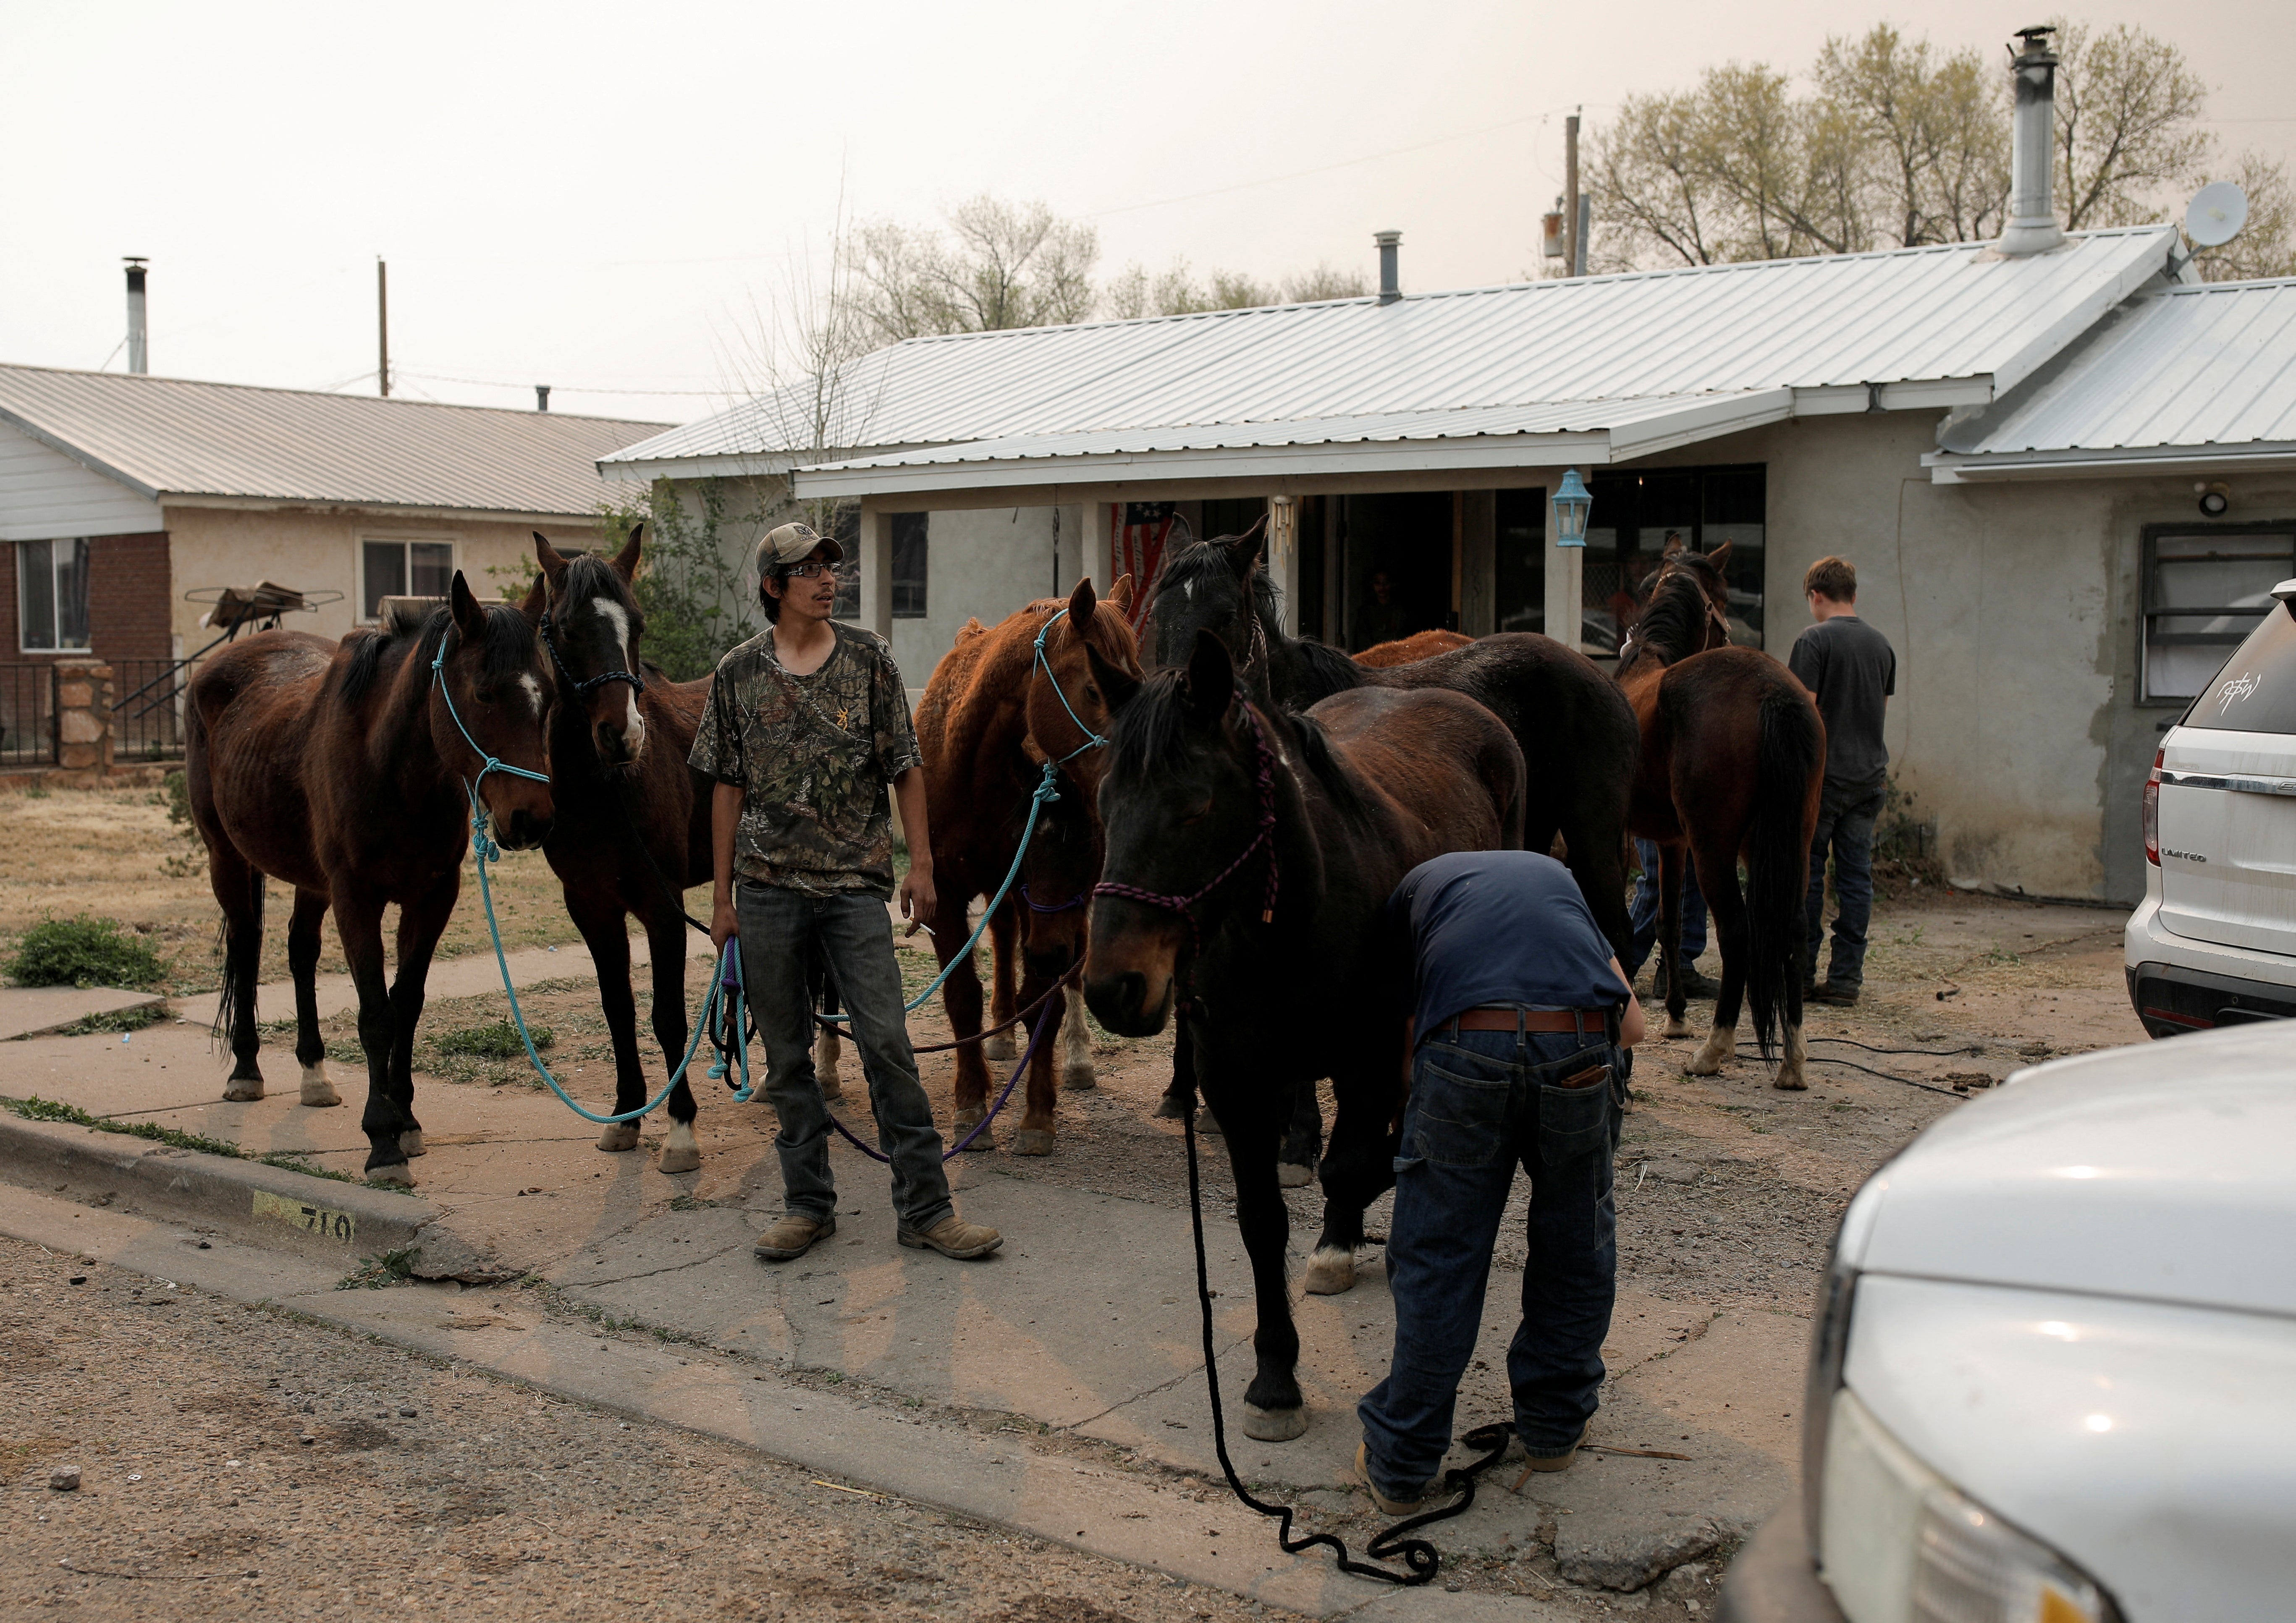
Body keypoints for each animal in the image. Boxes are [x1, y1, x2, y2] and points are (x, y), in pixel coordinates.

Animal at [183, 571, 551, 1184]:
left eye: (546, 693)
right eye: (484, 693)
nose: (532, 819)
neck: (392, 769)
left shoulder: (432, 897)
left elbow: (408, 1003)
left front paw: (406, 1119)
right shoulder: (357, 897)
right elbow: (377, 1014)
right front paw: (383, 1142)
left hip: (311, 879)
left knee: (300, 951)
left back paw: (314, 1072)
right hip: (226, 857)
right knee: (247, 945)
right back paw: (246, 1070)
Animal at [521, 528, 716, 1175]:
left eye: (638, 623)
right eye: (564, 627)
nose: (622, 734)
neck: (607, 791)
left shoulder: (662, 906)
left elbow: (668, 1016)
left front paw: (681, 1131)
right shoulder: (592, 908)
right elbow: (618, 1009)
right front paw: (626, 1116)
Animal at [904, 574, 1139, 1157]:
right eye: (1094, 690)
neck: (973, 771)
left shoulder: (1045, 893)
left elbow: (1044, 999)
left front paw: (1037, 1113)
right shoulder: (944, 893)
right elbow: (962, 996)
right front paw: (971, 1105)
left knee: (1066, 966)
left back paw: (1075, 1057)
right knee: (1005, 936)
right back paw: (1002, 1035)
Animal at [1079, 633, 1515, 1450]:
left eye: (1195, 807)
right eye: (1103, 803)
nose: (1111, 988)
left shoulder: (1370, 1055)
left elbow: (1353, 1165)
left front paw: (1349, 1227)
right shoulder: (1234, 1080)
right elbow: (1263, 1221)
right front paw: (1275, 1378)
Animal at [1625, 546, 1818, 1092]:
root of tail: (1773, 691)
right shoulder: (1672, 843)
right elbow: (1668, 923)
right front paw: (1674, 1015)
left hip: (1715, 847)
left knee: (1735, 931)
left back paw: (1713, 1049)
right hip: (1788, 841)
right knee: (1794, 929)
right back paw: (1793, 1060)